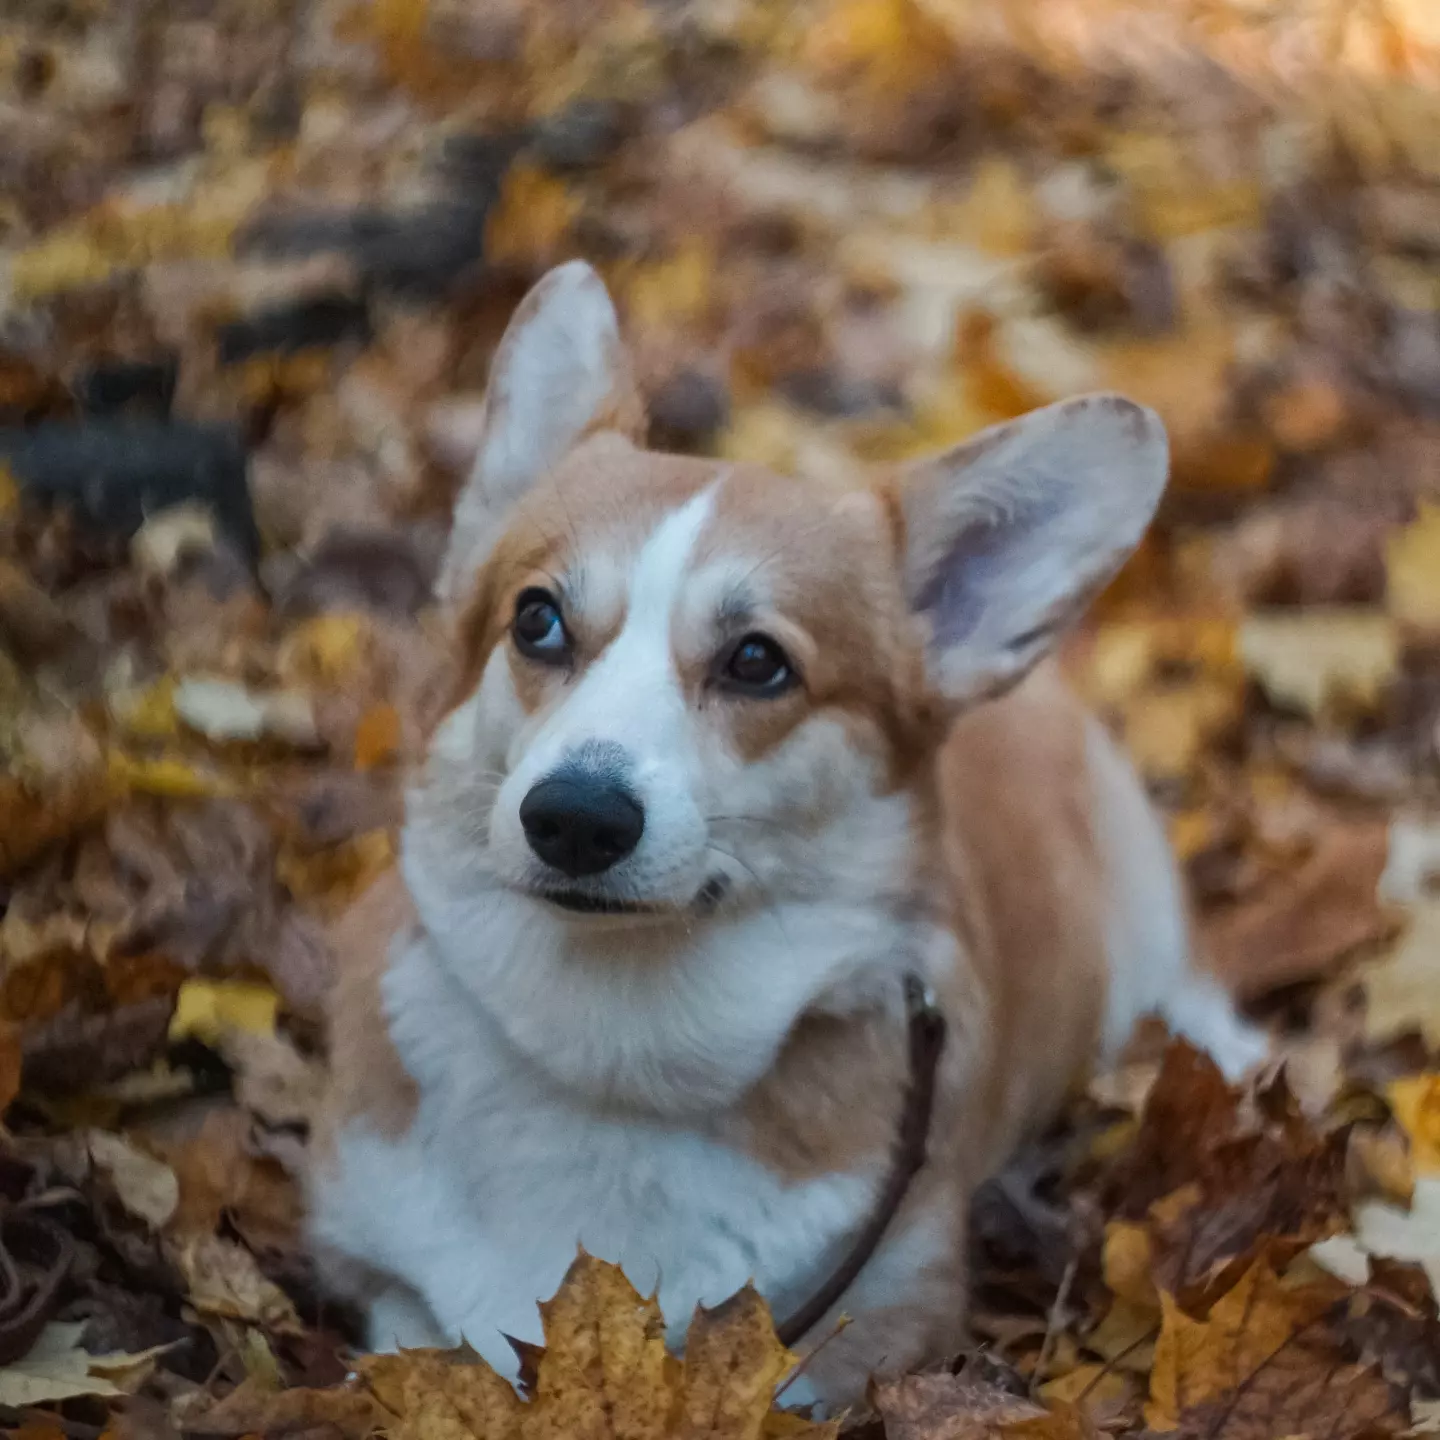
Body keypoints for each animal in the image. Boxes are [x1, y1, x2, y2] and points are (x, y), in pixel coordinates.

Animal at [309, 262, 1267, 1405]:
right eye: (536, 620)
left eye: (758, 661)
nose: (575, 817)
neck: (613, 1051)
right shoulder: (374, 1262)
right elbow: (414, 1333)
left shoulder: (883, 1313)